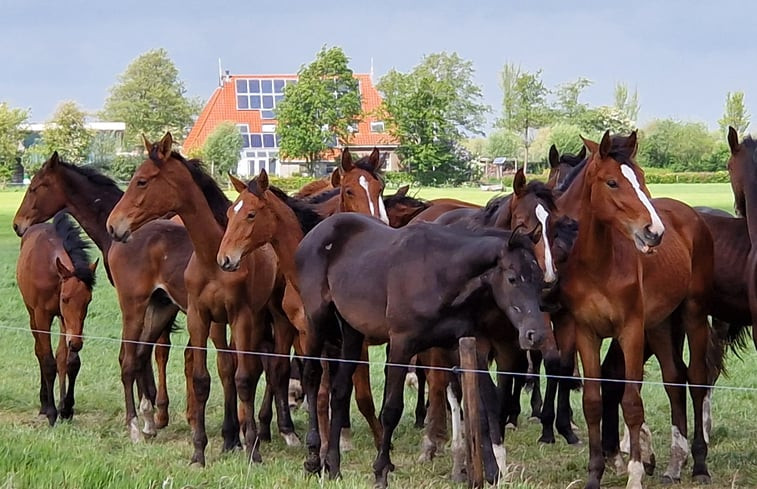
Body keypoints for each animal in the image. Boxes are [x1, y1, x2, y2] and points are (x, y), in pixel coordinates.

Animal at [16, 213, 96, 424]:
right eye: (65, 298)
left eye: (88, 300)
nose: (76, 343)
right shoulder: (43, 316)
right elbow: (48, 361)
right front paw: (52, 411)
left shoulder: (65, 319)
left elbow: (68, 361)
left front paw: (66, 408)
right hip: (32, 315)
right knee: (39, 352)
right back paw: (45, 405)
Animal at [107, 133, 296, 466]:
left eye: (142, 181)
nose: (113, 225)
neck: (211, 258)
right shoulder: (199, 316)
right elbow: (201, 379)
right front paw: (200, 451)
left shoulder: (242, 316)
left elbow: (243, 377)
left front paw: (251, 447)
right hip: (139, 308)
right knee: (131, 360)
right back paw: (140, 428)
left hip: (262, 316)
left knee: (266, 368)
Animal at [556, 131, 716, 488]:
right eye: (612, 182)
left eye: (642, 178)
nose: (654, 232)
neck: (598, 265)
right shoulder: (586, 332)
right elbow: (592, 401)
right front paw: (595, 474)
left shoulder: (629, 330)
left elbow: (631, 402)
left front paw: (635, 474)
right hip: (659, 325)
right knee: (674, 379)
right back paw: (675, 463)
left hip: (692, 314)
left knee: (697, 379)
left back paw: (699, 464)